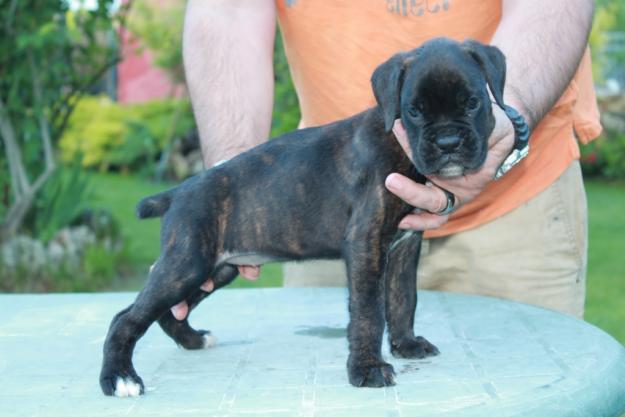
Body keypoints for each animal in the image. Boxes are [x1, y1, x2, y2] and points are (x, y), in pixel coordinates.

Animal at [98, 37, 508, 394]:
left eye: (473, 103)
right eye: (414, 111)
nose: (448, 143)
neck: (399, 144)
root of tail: (178, 192)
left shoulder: (405, 247)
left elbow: (403, 298)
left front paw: (406, 345)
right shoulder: (366, 245)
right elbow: (369, 310)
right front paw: (367, 369)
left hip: (216, 269)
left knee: (167, 312)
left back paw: (192, 340)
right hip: (188, 263)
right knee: (126, 317)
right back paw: (119, 378)